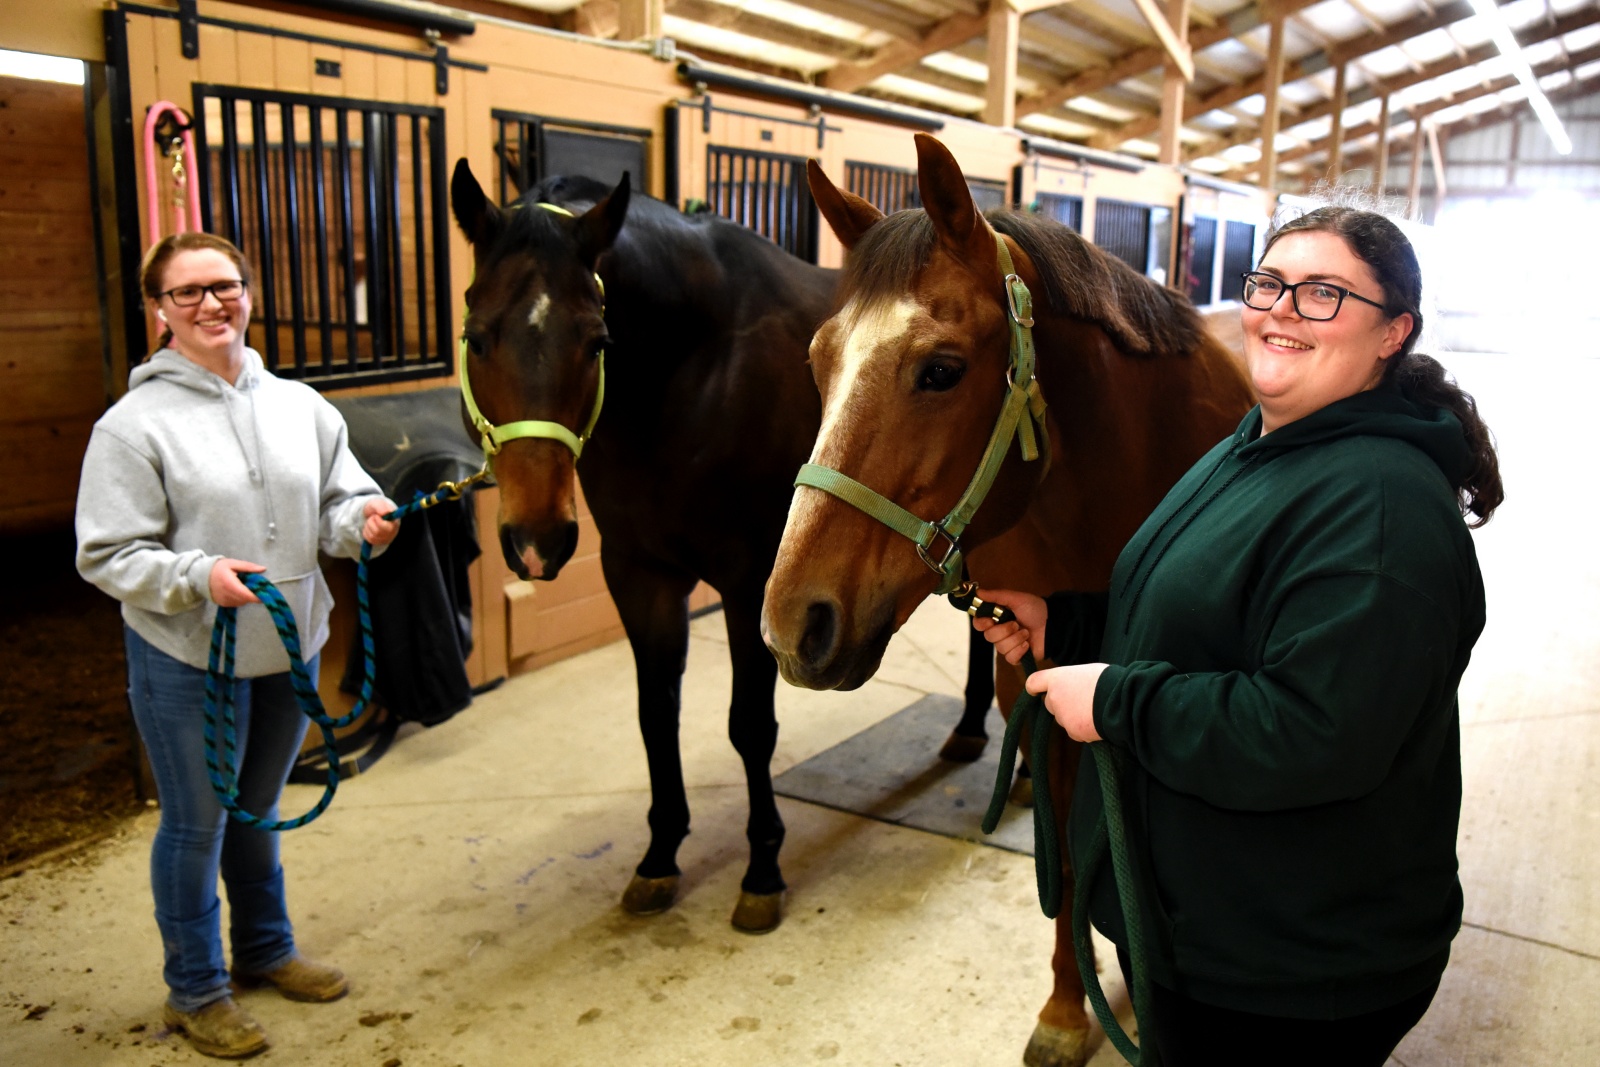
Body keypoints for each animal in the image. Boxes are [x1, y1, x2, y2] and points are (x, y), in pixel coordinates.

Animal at [446, 159, 1001, 934]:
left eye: (597, 341)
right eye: (475, 336)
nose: (537, 540)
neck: (695, 371)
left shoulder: (751, 587)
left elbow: (750, 726)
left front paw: (762, 869)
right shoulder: (639, 575)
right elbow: (657, 716)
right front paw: (658, 857)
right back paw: (971, 727)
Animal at [760, 134, 1256, 1067]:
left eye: (941, 370)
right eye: (816, 364)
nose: (791, 625)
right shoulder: (1043, 679)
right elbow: (1061, 849)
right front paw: (1068, 1008)